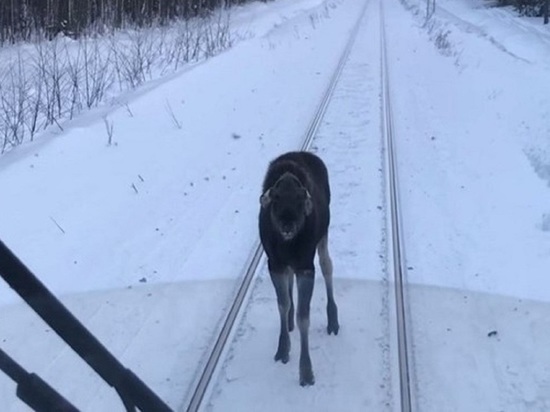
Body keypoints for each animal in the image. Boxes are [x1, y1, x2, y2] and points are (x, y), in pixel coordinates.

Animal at [260, 151, 340, 386]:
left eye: (299, 199)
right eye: (276, 198)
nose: (288, 224)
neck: (287, 245)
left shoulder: (305, 265)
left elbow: (304, 317)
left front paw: (306, 372)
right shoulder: (275, 263)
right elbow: (282, 304)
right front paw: (282, 350)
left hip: (323, 236)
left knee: (327, 265)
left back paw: (333, 321)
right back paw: (288, 322)